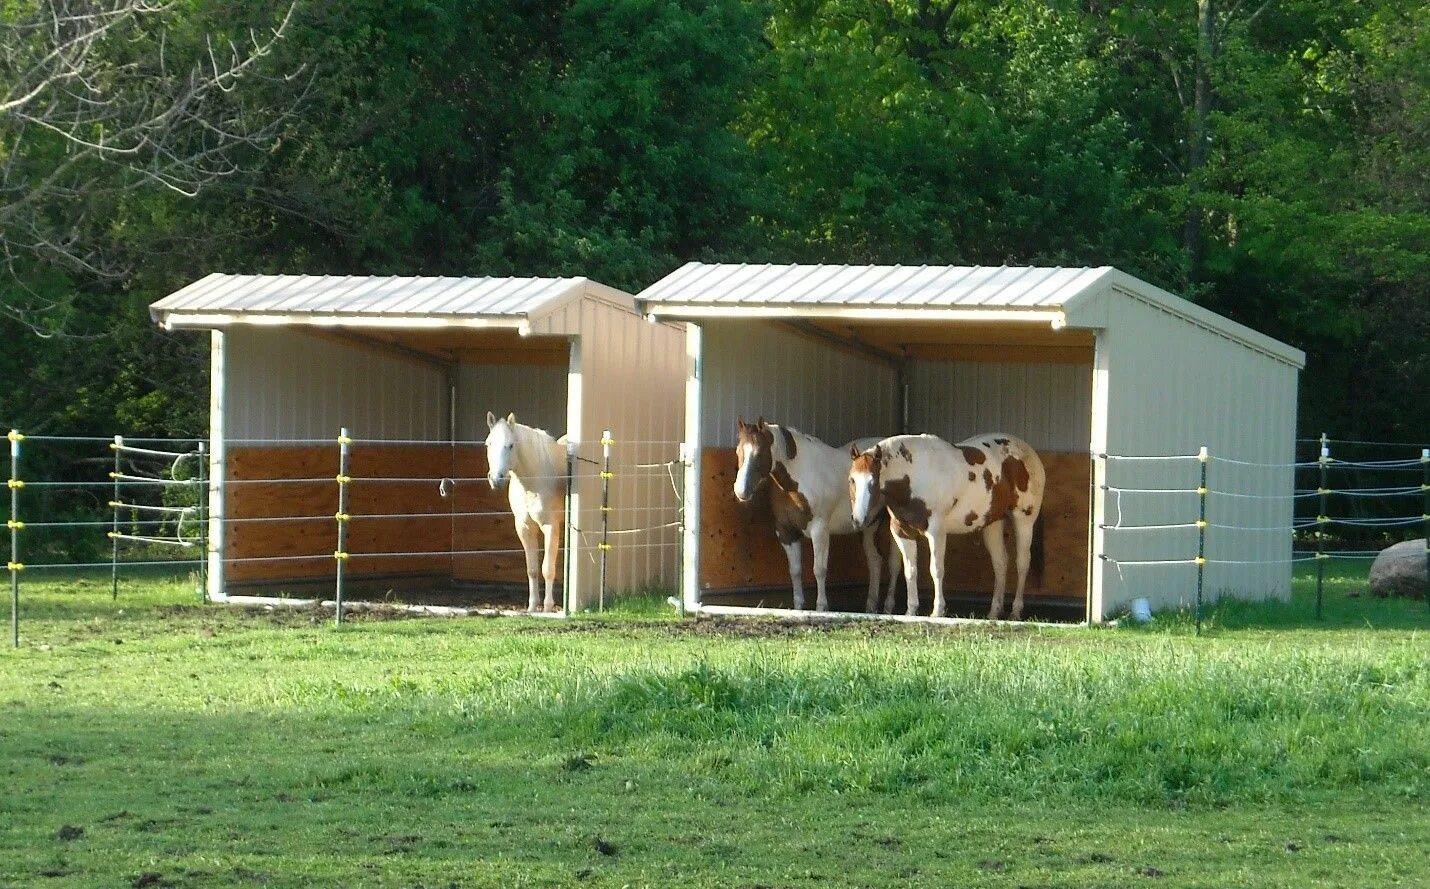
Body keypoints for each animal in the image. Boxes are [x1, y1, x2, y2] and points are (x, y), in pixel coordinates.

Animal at [483, 411, 566, 611]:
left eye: (511, 445)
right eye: (489, 444)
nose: (496, 479)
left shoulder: (551, 526)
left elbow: (547, 568)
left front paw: (548, 607)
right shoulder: (524, 527)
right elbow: (532, 569)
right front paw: (532, 607)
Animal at [732, 417, 898, 611]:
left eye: (759, 453)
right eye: (738, 451)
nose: (741, 491)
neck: (798, 479)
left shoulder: (819, 530)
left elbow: (819, 570)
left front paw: (821, 607)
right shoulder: (786, 532)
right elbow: (795, 571)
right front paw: (798, 607)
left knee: (894, 564)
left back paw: (888, 606)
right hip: (869, 526)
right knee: (875, 561)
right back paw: (871, 607)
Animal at [840, 434, 1046, 620]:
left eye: (873, 481)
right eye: (851, 480)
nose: (858, 519)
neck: (913, 476)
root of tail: (1029, 452)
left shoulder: (936, 531)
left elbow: (936, 570)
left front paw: (937, 610)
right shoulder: (902, 532)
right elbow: (910, 571)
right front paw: (911, 610)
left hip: (1024, 520)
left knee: (1022, 563)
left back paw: (1015, 611)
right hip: (993, 523)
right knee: (1000, 563)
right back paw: (994, 612)